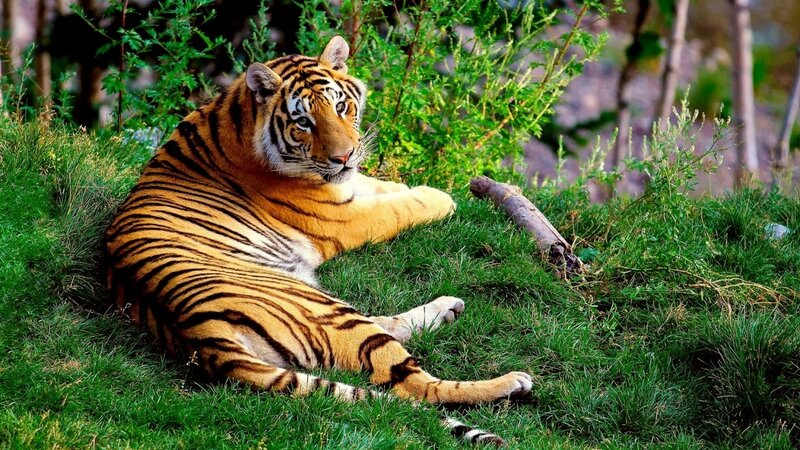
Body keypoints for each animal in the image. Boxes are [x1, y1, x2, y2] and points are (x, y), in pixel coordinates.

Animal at [104, 36, 532, 446]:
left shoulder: (347, 186)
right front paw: (440, 197)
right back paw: (511, 381)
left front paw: (410, 186)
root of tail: (199, 336)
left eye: (341, 106)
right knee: (415, 386)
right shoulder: (343, 218)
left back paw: (448, 309)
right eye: (304, 122)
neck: (238, 116)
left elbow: (381, 186)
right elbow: (398, 208)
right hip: (325, 309)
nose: (344, 157)